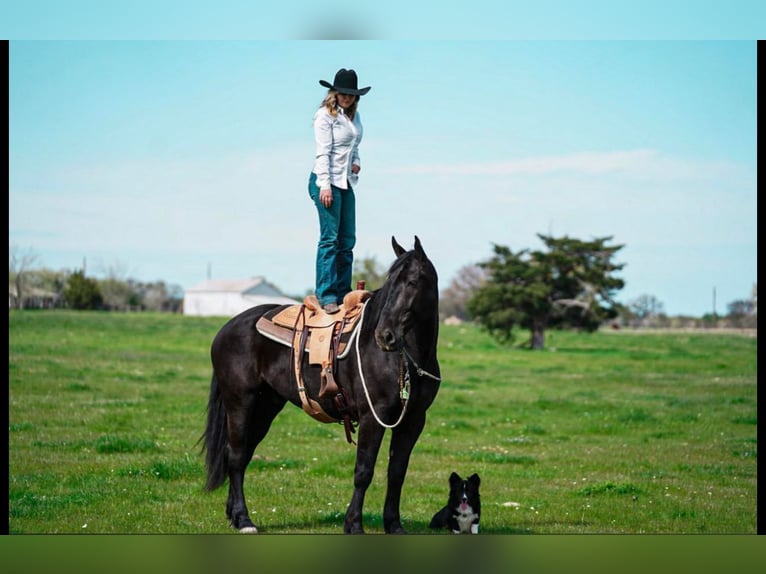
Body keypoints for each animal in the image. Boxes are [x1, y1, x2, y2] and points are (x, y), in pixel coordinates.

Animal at [202, 236, 444, 532]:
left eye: (411, 282)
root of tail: (227, 328)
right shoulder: (373, 417)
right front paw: (354, 525)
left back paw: (234, 516)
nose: (384, 336)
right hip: (240, 403)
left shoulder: (413, 420)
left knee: (241, 454)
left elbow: (397, 472)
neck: (403, 358)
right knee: (236, 457)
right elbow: (364, 471)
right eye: (389, 284)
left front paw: (394, 525)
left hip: (265, 407)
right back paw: (245, 519)